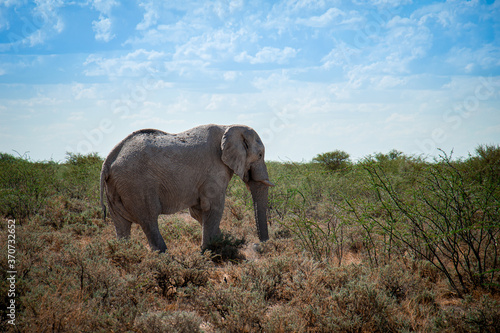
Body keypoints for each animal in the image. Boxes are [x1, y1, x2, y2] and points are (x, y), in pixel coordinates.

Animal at [100, 124, 276, 252]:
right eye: (260, 155)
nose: (258, 245)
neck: (229, 126)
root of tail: (108, 161)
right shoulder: (214, 170)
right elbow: (213, 207)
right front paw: (210, 252)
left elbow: (198, 211)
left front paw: (223, 242)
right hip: (136, 184)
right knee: (149, 220)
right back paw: (165, 259)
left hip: (116, 187)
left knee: (121, 225)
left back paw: (125, 254)